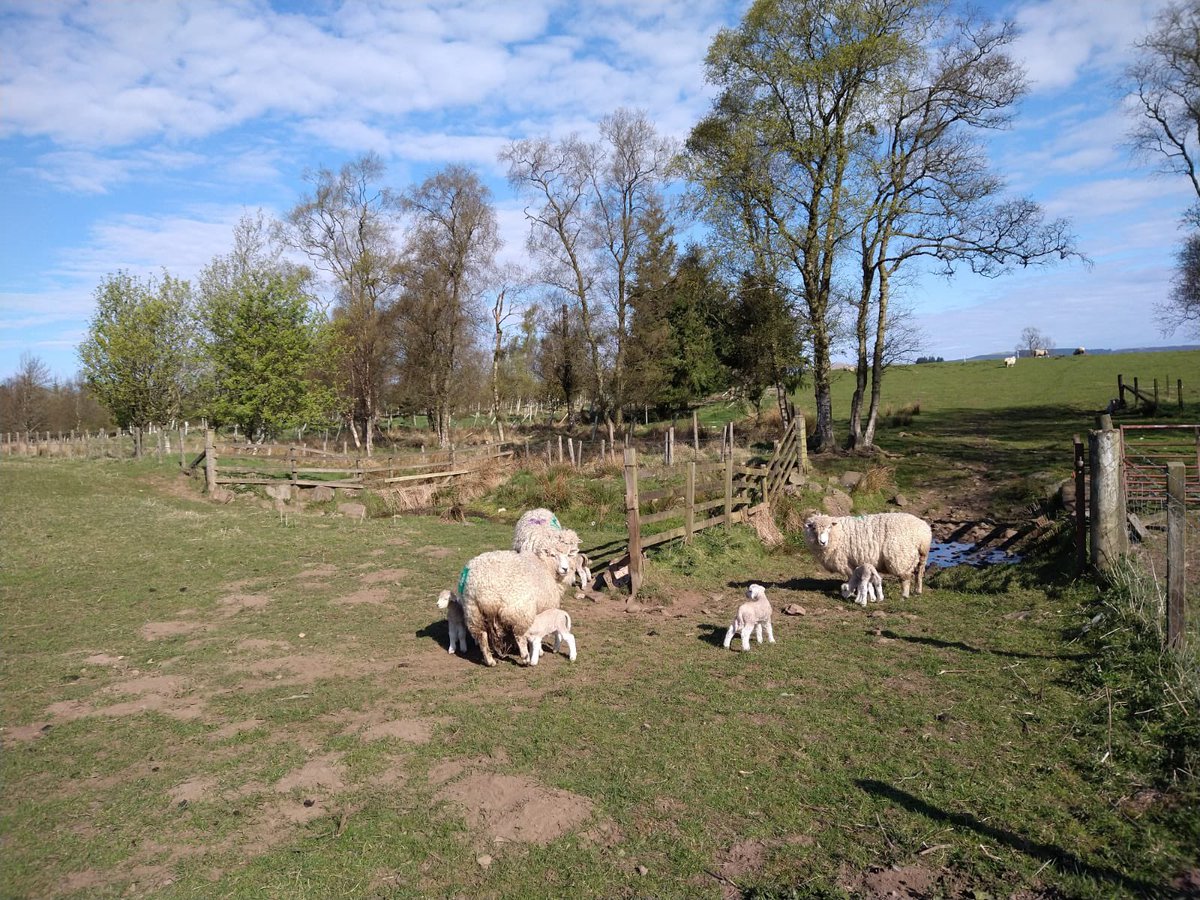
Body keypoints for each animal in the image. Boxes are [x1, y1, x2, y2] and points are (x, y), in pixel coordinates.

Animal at [803, 512, 932, 599]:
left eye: (829, 527)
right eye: (813, 528)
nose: (822, 542)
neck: (838, 533)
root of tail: (924, 531)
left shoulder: (846, 562)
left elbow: (851, 577)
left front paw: (851, 591)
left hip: (901, 556)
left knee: (905, 578)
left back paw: (904, 595)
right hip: (922, 555)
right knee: (919, 573)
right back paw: (918, 591)